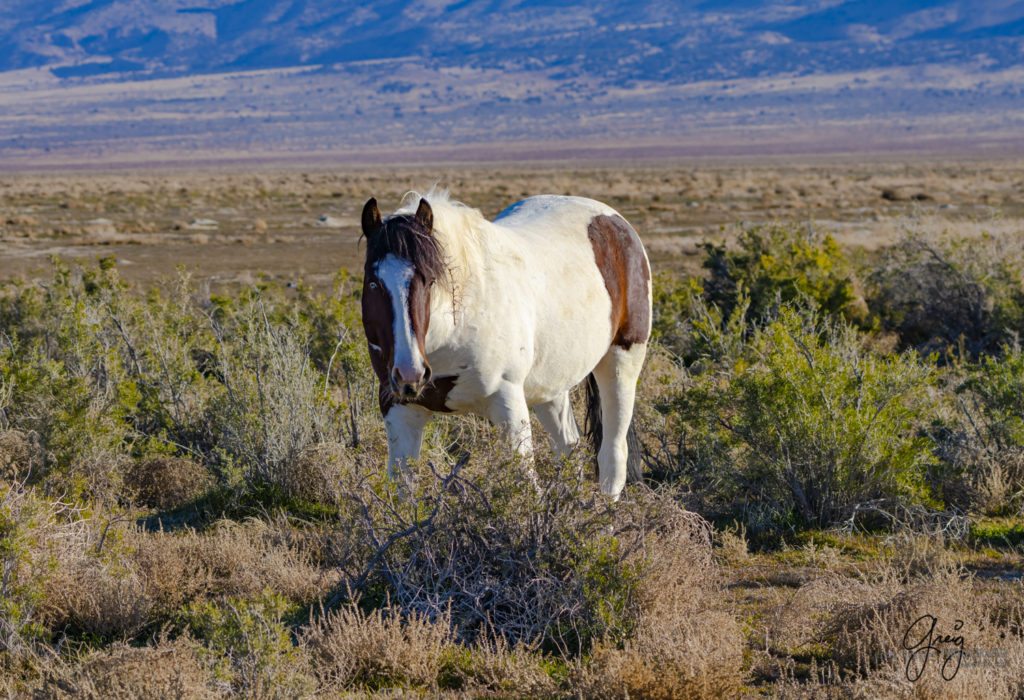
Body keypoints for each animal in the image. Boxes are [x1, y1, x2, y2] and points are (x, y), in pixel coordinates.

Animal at [360, 190, 647, 497]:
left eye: (431, 281)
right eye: (373, 282)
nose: (410, 374)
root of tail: (614, 221)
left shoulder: (508, 403)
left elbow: (525, 485)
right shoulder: (400, 410)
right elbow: (402, 490)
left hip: (621, 362)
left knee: (613, 456)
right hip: (551, 385)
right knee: (568, 446)